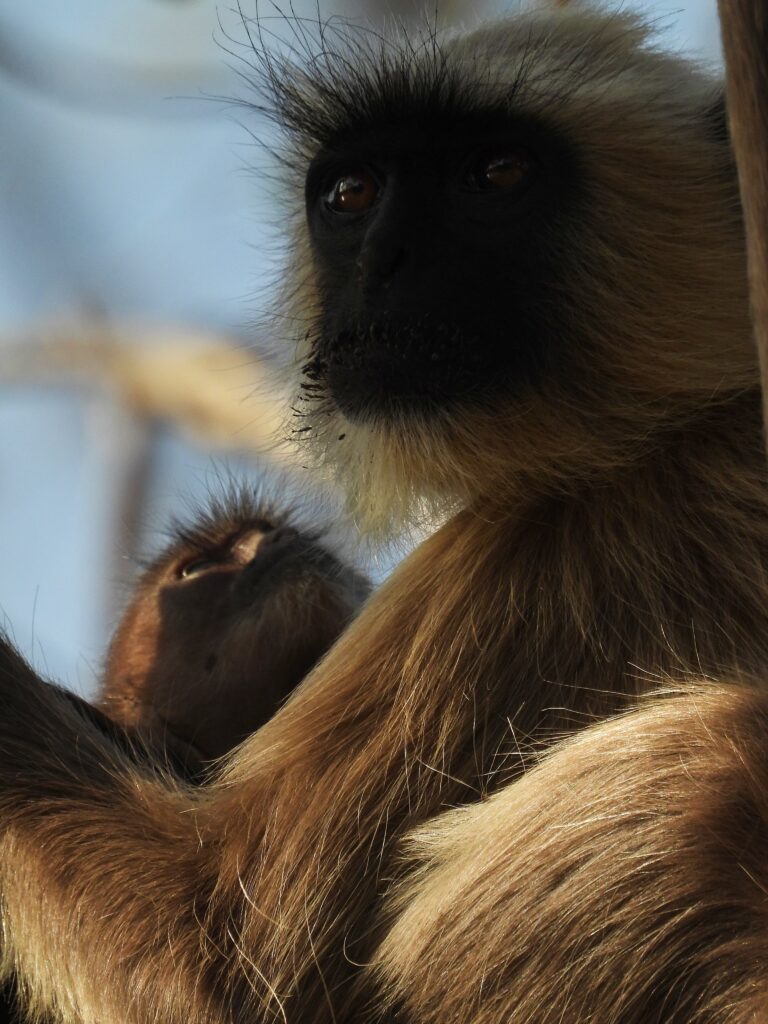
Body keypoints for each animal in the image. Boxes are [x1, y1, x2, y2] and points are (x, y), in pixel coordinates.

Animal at [1, 8, 768, 1024]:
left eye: (497, 173)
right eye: (352, 194)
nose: (379, 263)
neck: (691, 421)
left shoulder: (539, 555)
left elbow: (219, 966)